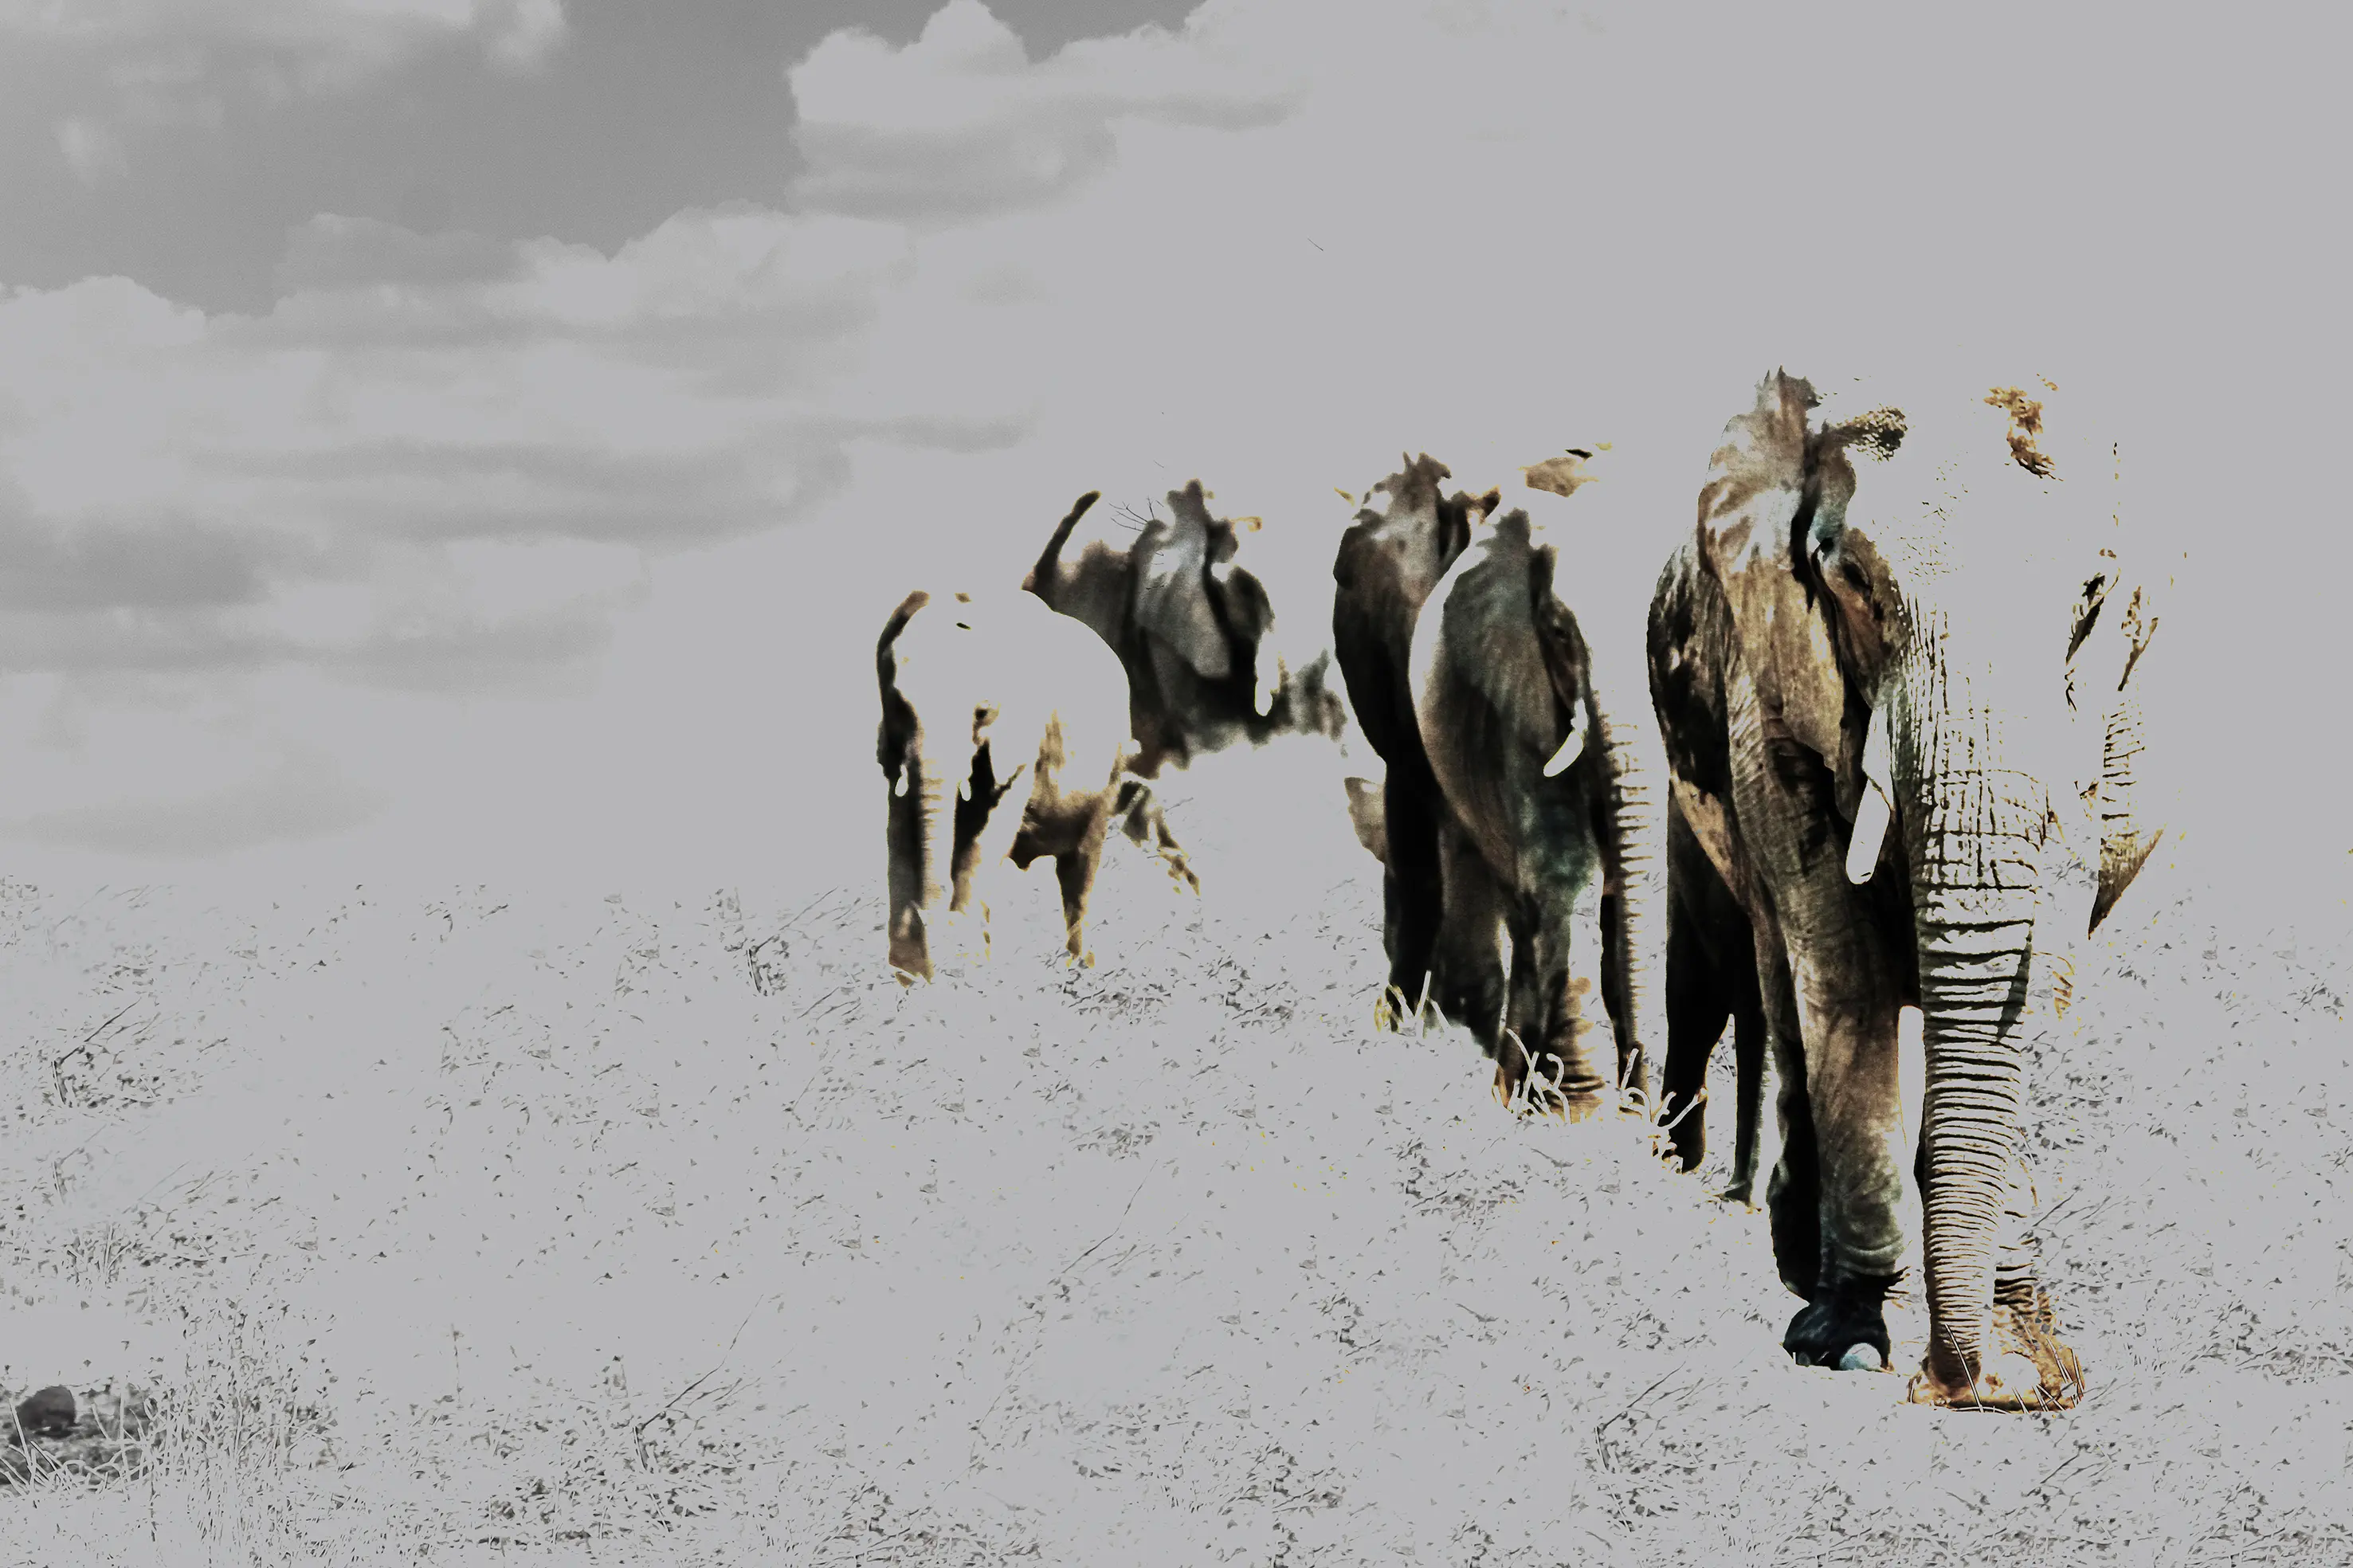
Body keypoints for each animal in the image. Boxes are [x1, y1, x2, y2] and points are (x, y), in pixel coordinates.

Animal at [876, 584, 1198, 983]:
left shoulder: (1021, 740)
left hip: (1110, 771)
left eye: (983, 713)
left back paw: (1081, 968)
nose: (931, 917)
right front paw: (914, 982)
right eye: (898, 705)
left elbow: (988, 835)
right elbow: (899, 832)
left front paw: (964, 968)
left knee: (1079, 867)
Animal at [1646, 368, 2165, 1409]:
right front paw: (1850, 1343)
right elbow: (1839, 963)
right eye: (1851, 583)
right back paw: (1799, 1261)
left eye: (2091, 593)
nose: (1951, 1386)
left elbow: (2036, 957)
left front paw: (2026, 1367)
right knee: (1783, 981)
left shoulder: (2091, 724)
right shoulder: (1770, 687)